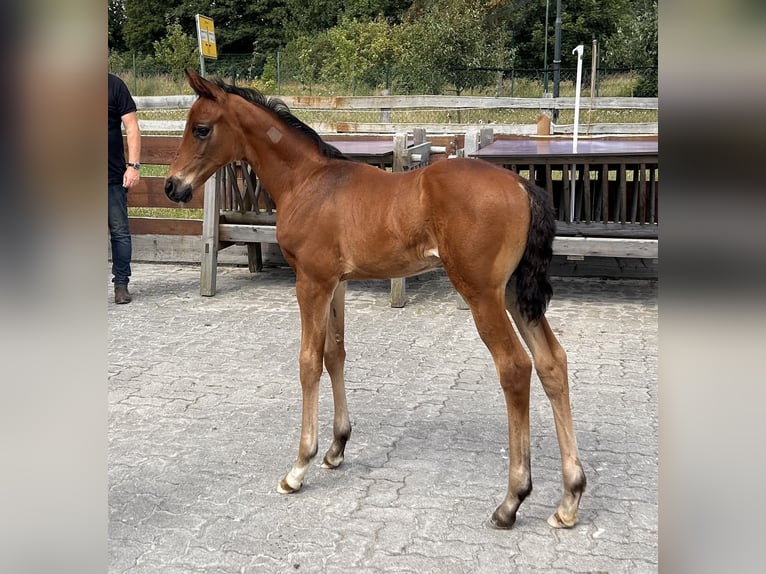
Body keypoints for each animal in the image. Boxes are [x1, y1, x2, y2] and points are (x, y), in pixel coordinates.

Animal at [166, 68, 588, 532]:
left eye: (201, 128)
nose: (172, 186)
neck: (307, 182)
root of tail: (520, 184)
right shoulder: (336, 282)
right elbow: (335, 353)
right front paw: (337, 448)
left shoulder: (310, 281)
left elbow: (309, 361)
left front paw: (299, 466)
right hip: (514, 292)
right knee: (552, 362)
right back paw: (569, 498)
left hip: (482, 293)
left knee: (514, 367)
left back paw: (511, 500)